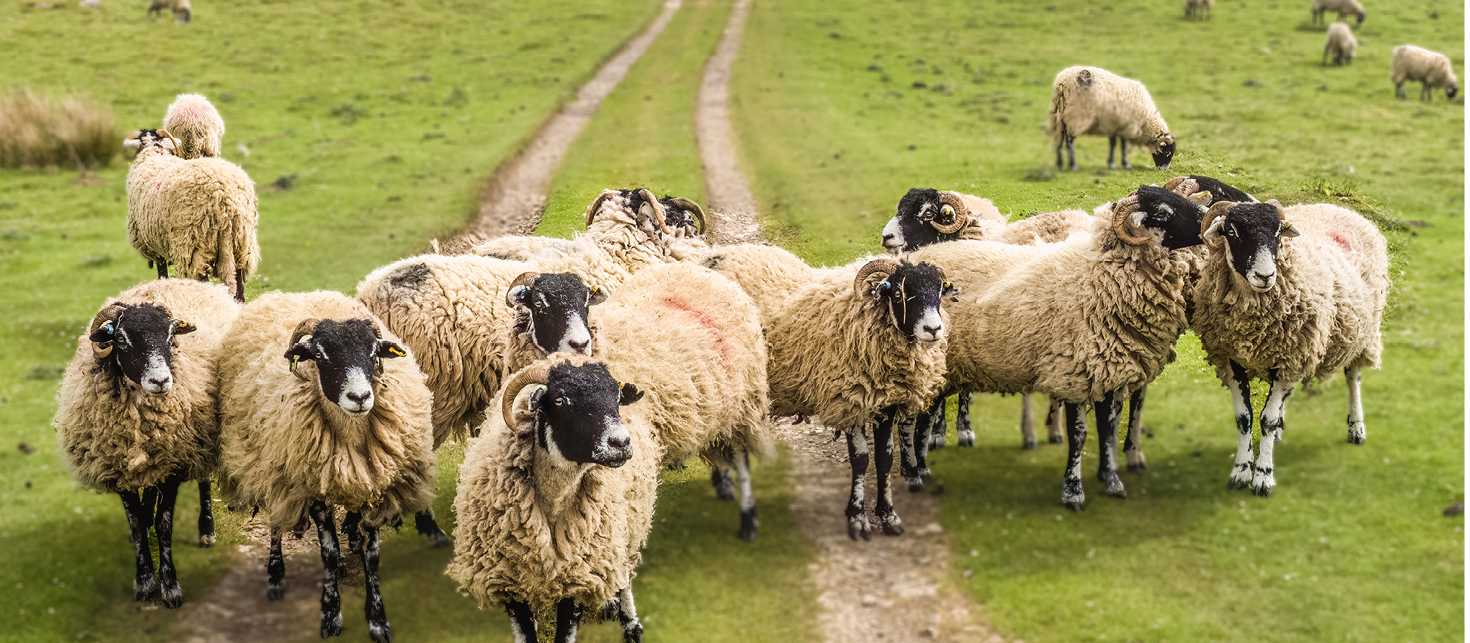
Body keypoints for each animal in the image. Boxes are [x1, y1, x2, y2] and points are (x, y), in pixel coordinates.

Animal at [53, 279, 240, 607]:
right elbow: (137, 523)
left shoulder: (173, 466)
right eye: (122, 340)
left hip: (200, 442)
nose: (161, 381)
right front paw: (144, 581)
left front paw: (170, 586)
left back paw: (206, 529)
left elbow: (165, 526)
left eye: (170, 335)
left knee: (203, 479)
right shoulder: (118, 469)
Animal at [124, 128, 259, 302]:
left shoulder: (155, 246)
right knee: (240, 290)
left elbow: (162, 275)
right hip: (241, 243)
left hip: (193, 242)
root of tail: (224, 198)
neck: (154, 152)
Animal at [217, 291, 435, 641]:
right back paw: (275, 575)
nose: (360, 397)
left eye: (373, 352)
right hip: (274, 464)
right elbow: (328, 552)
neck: (350, 437)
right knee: (276, 519)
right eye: (320, 355)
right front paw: (330, 614)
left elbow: (372, 553)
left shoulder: (373, 484)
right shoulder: (313, 486)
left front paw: (377, 620)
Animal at [446, 356, 659, 643]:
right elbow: (526, 633)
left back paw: (630, 624)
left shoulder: (578, 577)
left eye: (616, 397)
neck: (553, 502)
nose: (621, 443)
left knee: (623, 573)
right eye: (560, 400)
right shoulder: (509, 581)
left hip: (624, 532)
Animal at [1191, 200, 1388, 496]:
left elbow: (1267, 420)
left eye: (1277, 233)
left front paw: (1263, 476)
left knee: (1353, 378)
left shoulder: (1290, 359)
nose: (1265, 275)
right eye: (1232, 231)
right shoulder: (1232, 358)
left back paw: (1356, 427)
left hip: (1360, 332)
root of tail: (1338, 207)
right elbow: (1244, 418)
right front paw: (1241, 471)